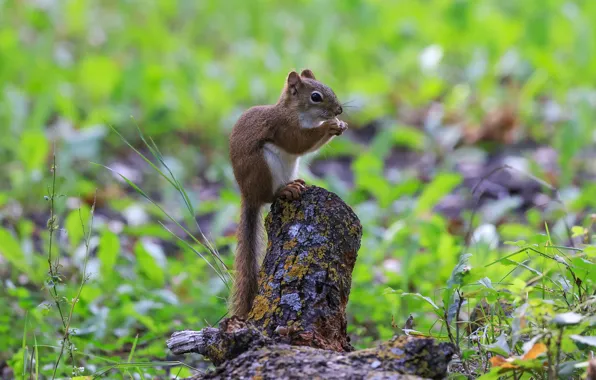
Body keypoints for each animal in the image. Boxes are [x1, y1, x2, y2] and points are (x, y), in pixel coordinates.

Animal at [228, 69, 350, 318]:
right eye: (315, 96)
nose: (339, 110)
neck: (299, 113)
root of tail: (248, 194)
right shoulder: (283, 127)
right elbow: (298, 142)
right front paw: (329, 126)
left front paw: (339, 124)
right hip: (263, 167)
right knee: (270, 196)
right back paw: (285, 190)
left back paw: (295, 183)